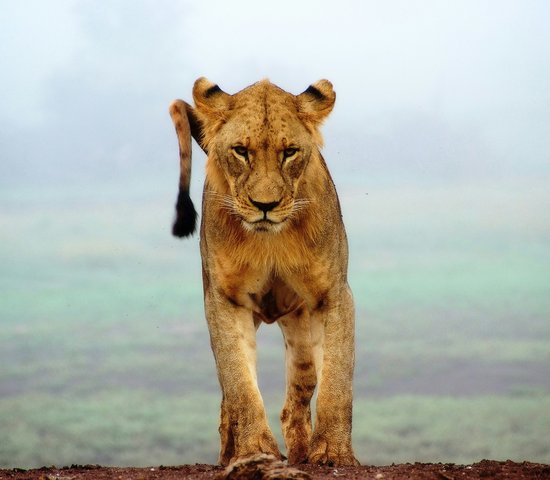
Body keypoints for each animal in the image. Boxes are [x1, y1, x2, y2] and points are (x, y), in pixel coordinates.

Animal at [170, 78, 360, 464]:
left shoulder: (334, 294)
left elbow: (337, 380)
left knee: (297, 399)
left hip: (301, 330)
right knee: (227, 401)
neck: (270, 240)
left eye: (290, 152)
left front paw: (333, 453)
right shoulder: (225, 300)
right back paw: (229, 455)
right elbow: (240, 384)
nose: (265, 205)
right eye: (241, 151)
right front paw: (254, 451)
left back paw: (301, 454)